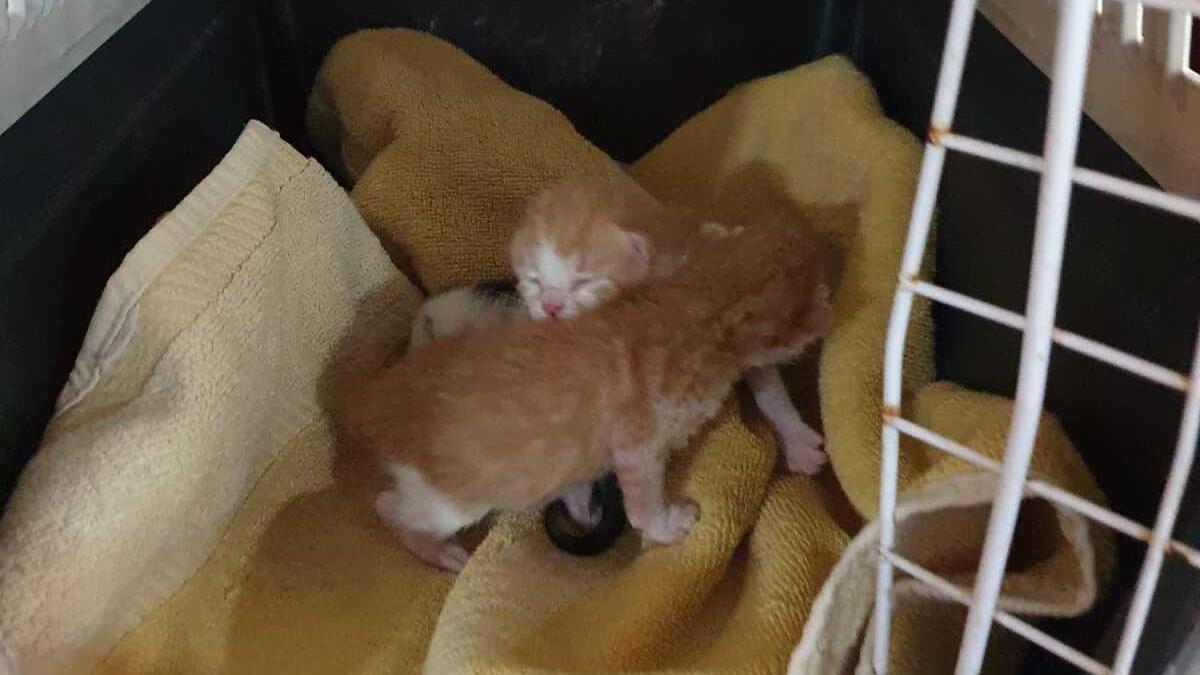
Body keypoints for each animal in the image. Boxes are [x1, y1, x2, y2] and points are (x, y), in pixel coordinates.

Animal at [345, 213, 835, 566]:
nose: (833, 248)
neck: (693, 301)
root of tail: (370, 403)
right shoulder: (639, 434)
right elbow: (641, 498)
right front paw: (667, 526)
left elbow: (768, 387)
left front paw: (796, 438)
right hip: (450, 499)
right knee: (390, 505)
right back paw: (435, 549)